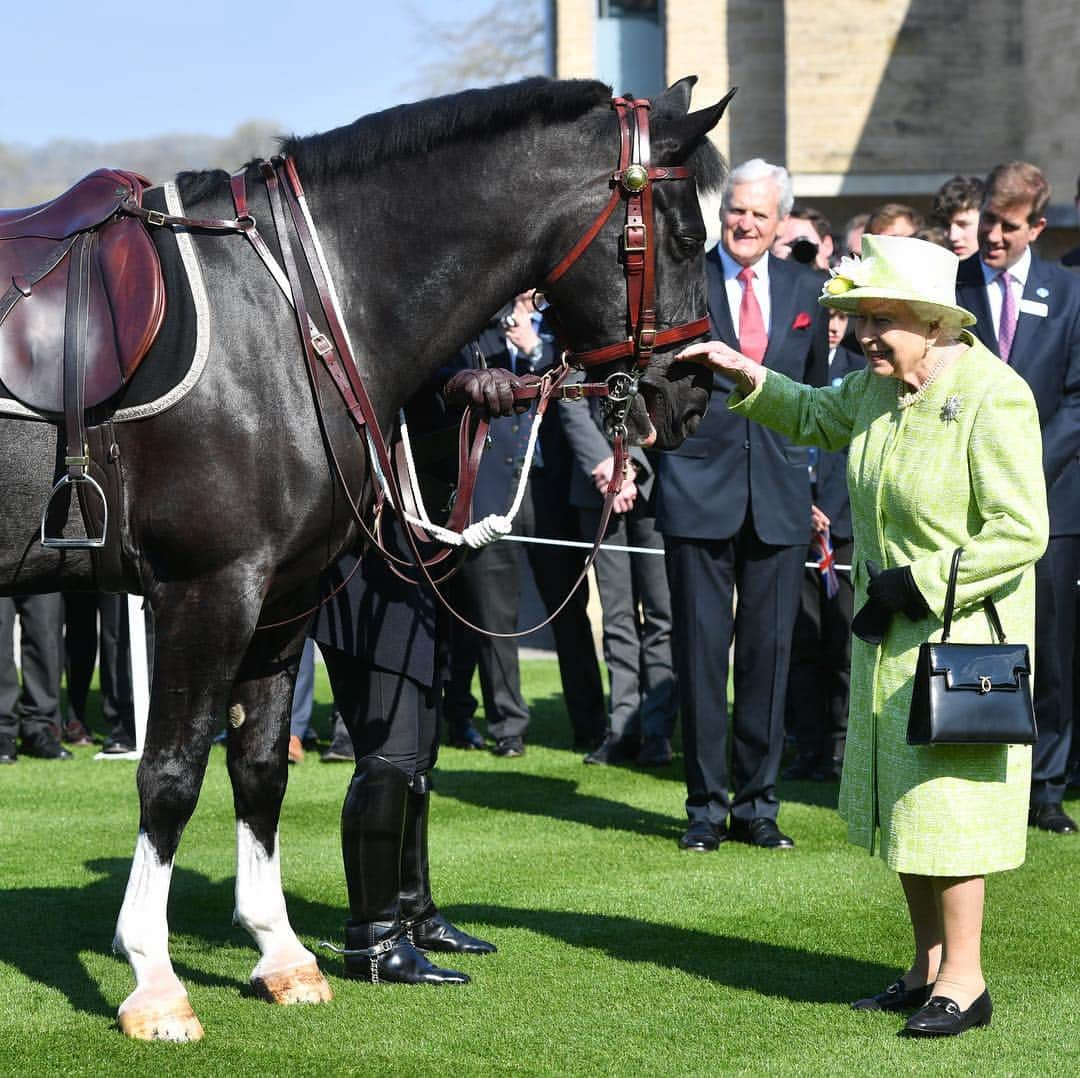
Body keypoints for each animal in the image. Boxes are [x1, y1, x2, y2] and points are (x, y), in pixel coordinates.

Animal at [0, 73, 730, 1036]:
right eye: (684, 239)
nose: (693, 395)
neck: (287, 314)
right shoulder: (208, 590)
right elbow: (172, 774)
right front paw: (154, 981)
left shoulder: (282, 594)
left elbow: (260, 769)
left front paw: (283, 957)